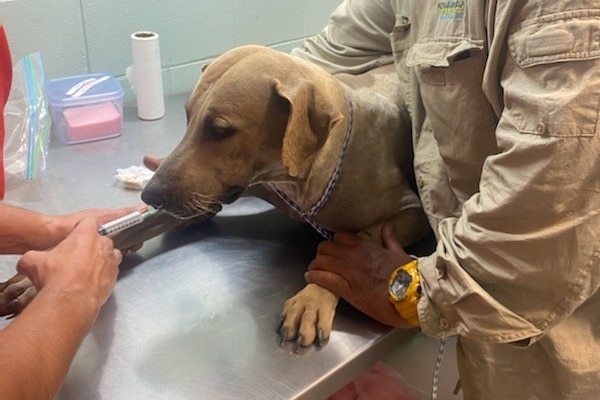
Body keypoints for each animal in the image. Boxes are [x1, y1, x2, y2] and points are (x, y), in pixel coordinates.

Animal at [142, 44, 432, 346]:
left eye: (220, 130)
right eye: (188, 117)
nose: (150, 195)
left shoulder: (411, 211)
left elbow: (363, 241)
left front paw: (313, 298)